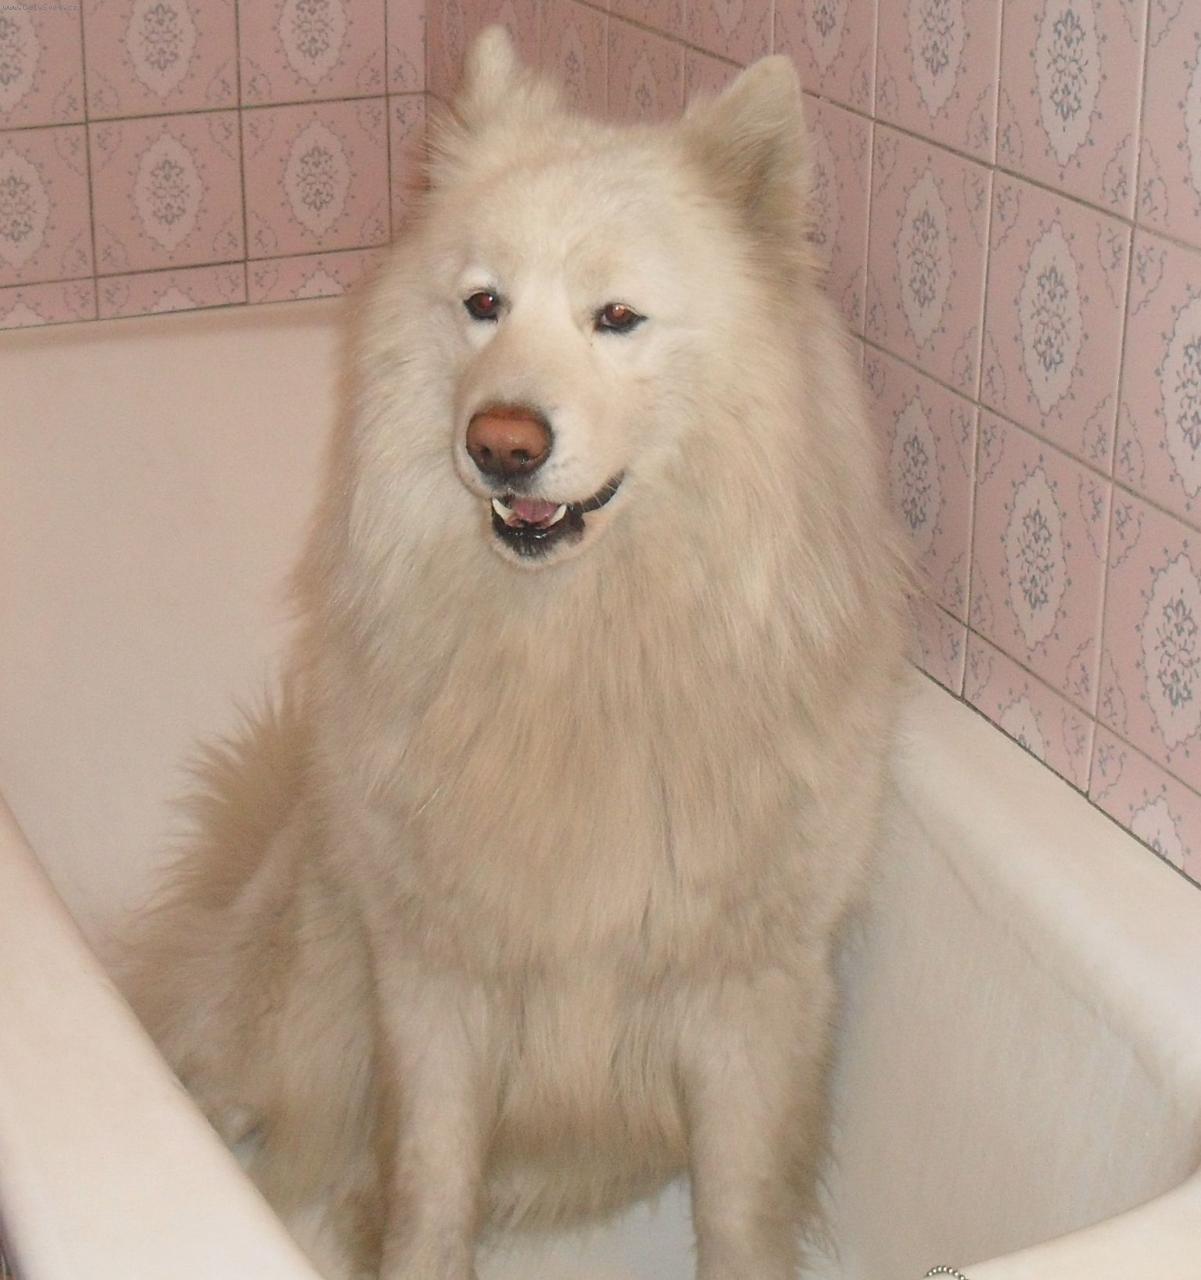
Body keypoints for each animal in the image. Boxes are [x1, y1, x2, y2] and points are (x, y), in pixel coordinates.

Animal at [124, 27, 907, 1280]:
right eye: (483, 303)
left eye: (616, 317)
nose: (499, 443)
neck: (578, 662)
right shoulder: (435, 981)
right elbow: (431, 1188)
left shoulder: (747, 996)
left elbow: (740, 1213)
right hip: (296, 1003)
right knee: (215, 1066)